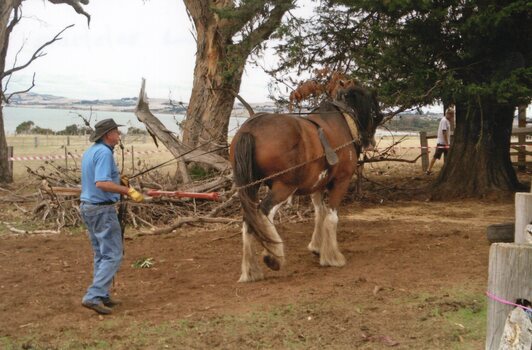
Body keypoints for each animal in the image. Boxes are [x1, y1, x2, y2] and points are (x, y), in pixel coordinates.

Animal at [229, 84, 382, 282]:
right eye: (377, 114)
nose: (370, 142)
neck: (343, 121)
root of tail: (250, 128)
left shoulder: (317, 185)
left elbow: (320, 213)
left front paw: (317, 247)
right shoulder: (341, 181)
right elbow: (331, 217)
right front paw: (332, 257)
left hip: (251, 186)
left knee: (249, 218)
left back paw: (251, 270)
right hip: (284, 187)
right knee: (263, 212)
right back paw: (274, 256)